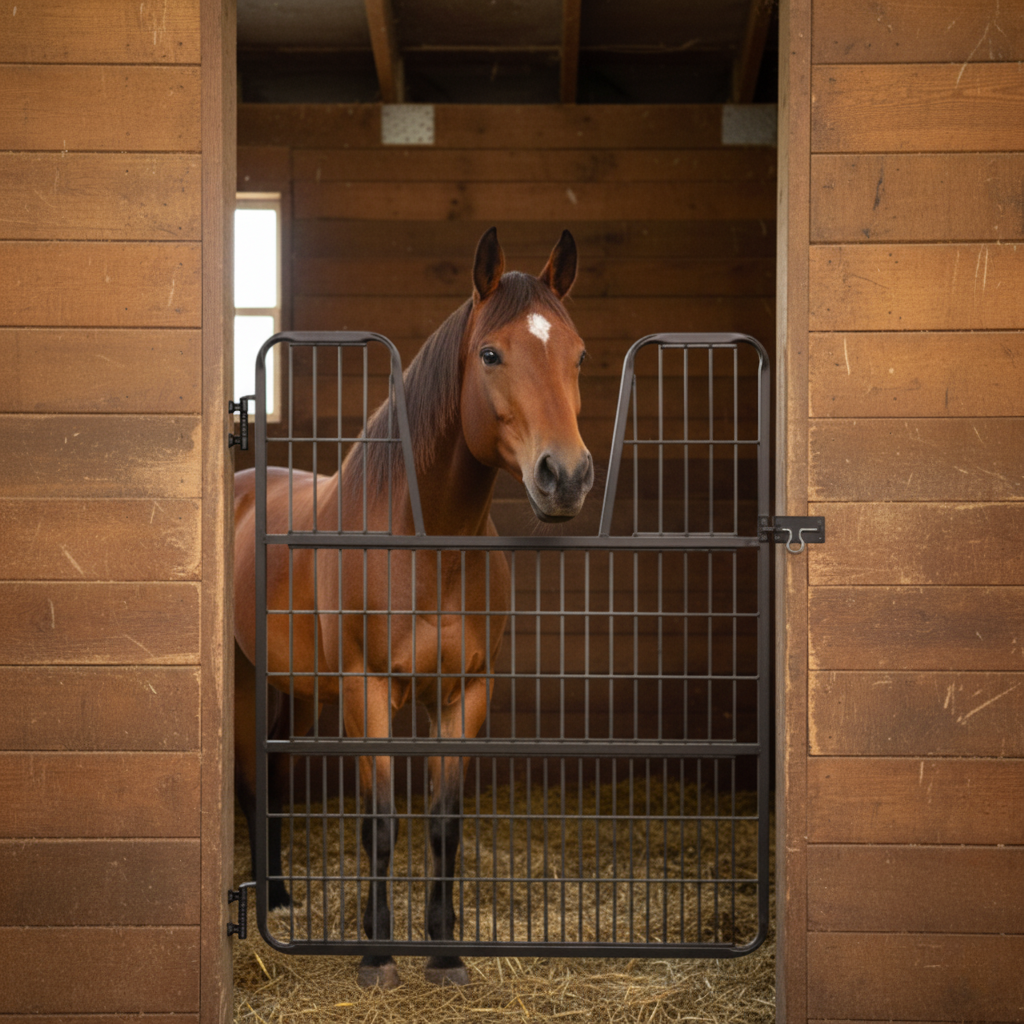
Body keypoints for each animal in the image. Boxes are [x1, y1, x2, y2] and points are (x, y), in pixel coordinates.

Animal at [233, 227, 594, 989]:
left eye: (578, 354)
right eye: (490, 353)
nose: (566, 476)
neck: (426, 551)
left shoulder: (463, 695)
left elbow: (442, 824)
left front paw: (445, 950)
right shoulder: (366, 693)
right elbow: (380, 825)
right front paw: (376, 955)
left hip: (298, 688)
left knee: (275, 775)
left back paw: (279, 897)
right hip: (249, 677)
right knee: (252, 782)